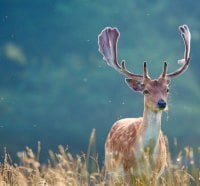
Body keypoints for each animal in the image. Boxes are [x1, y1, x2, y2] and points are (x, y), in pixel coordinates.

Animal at [97, 24, 191, 182]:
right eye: (146, 91)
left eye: (167, 89)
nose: (162, 103)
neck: (145, 155)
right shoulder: (127, 172)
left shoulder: (155, 174)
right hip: (110, 171)